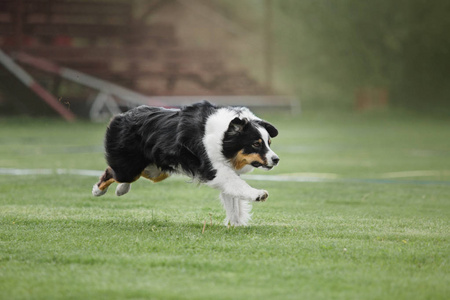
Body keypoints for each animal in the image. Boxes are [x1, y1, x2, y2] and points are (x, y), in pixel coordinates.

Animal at [92, 101, 280, 225]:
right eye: (256, 144)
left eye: (269, 143)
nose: (276, 159)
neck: (223, 136)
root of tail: (121, 115)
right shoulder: (213, 169)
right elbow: (237, 185)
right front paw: (258, 194)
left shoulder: (225, 168)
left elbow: (233, 199)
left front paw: (235, 224)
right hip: (129, 167)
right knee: (113, 172)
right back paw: (98, 190)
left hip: (156, 171)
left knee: (130, 174)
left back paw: (121, 189)